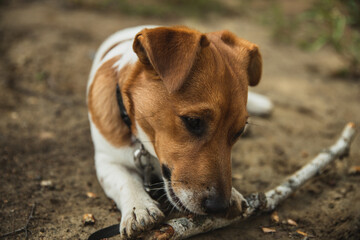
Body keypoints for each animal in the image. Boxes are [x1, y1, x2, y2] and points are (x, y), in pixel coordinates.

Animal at [86, 25, 272, 237]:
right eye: (193, 121)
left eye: (239, 131)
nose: (219, 207)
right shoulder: (107, 160)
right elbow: (125, 180)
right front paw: (138, 207)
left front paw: (233, 194)